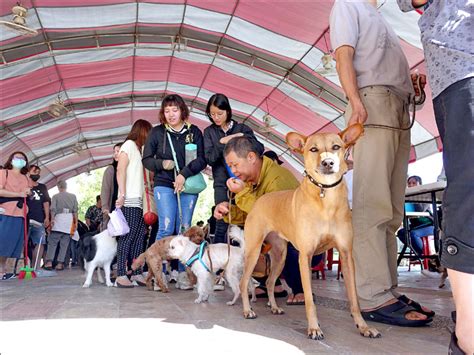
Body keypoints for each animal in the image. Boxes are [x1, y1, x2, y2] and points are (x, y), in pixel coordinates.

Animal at [239, 124, 380, 340]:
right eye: (313, 149)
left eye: (336, 146)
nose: (328, 162)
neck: (325, 196)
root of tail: (259, 200)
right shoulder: (305, 256)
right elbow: (309, 301)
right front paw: (314, 328)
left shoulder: (346, 255)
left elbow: (354, 300)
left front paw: (363, 326)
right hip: (254, 252)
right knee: (244, 282)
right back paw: (247, 310)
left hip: (280, 255)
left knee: (270, 282)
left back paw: (274, 307)